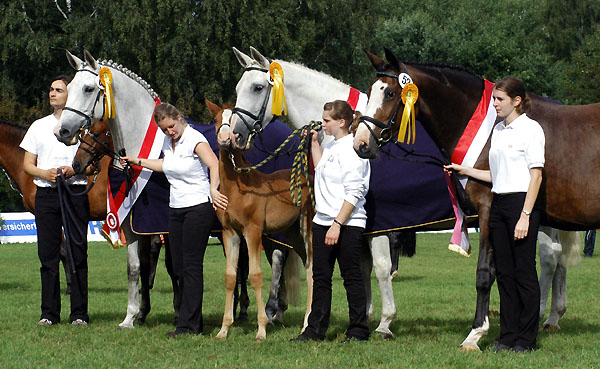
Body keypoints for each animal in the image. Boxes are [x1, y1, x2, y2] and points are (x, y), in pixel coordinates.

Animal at [230, 46, 398, 336]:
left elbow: (379, 266)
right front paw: (365, 316)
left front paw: (384, 322)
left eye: (258, 87)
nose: (236, 135)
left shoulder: (374, 219)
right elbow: (362, 265)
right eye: (238, 87)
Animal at [352, 48, 600, 348]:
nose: (361, 144)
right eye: (369, 91)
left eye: (389, 93)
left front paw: (475, 334)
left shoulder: (488, 210)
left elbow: (485, 272)